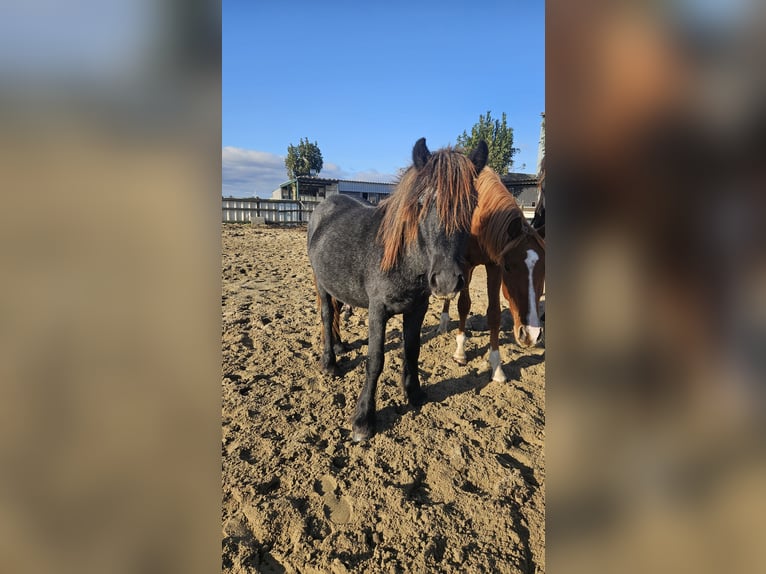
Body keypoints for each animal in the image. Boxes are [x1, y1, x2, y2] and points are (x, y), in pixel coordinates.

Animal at [308, 138, 488, 442]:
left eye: (471, 205)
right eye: (421, 202)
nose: (447, 281)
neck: (404, 260)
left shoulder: (417, 309)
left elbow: (412, 350)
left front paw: (414, 394)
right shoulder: (377, 311)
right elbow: (375, 360)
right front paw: (363, 419)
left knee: (337, 310)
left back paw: (341, 346)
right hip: (321, 284)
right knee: (325, 314)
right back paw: (330, 363)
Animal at [438, 166, 546, 383]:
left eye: (544, 268)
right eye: (509, 267)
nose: (531, 334)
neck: (479, 217)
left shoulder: (493, 265)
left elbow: (494, 313)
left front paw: (497, 368)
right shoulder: (467, 264)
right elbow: (464, 305)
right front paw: (460, 352)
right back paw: (444, 322)